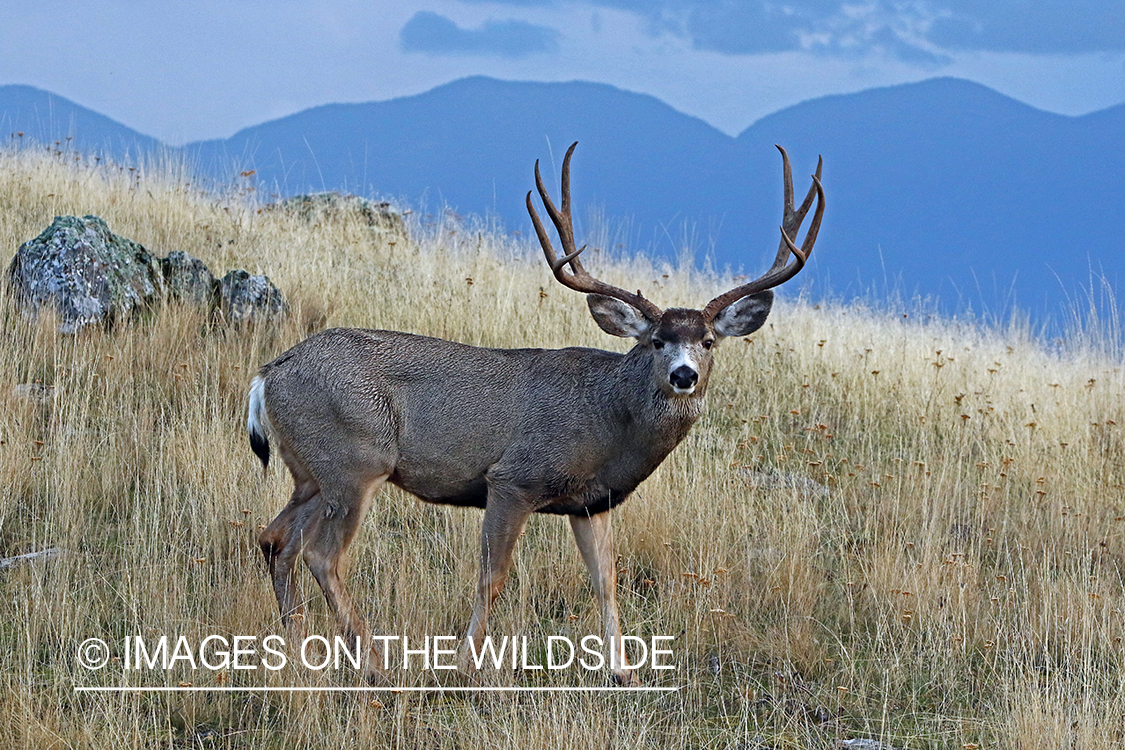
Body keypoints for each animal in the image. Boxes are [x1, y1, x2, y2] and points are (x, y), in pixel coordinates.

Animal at [246, 142, 823, 688]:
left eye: (707, 341)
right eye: (656, 341)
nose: (684, 375)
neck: (606, 420)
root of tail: (270, 373)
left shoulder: (591, 503)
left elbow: (606, 580)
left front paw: (624, 671)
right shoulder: (513, 479)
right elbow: (492, 576)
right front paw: (465, 664)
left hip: (311, 472)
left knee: (276, 540)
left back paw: (297, 651)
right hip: (355, 462)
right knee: (322, 555)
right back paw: (373, 664)